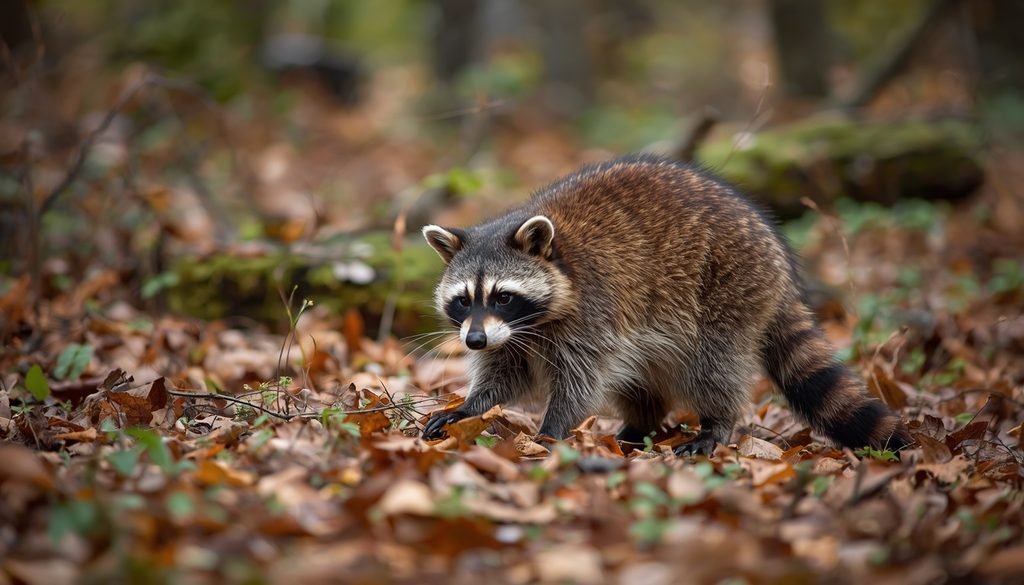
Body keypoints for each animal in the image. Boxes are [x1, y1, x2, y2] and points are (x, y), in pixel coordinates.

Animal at [420, 155, 909, 455]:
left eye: (503, 296)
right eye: (463, 300)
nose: (474, 340)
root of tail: (779, 262)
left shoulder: (592, 310)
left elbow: (581, 379)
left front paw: (553, 426)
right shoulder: (510, 335)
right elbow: (504, 374)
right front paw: (470, 406)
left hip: (728, 290)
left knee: (712, 366)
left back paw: (716, 422)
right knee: (637, 377)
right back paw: (642, 423)